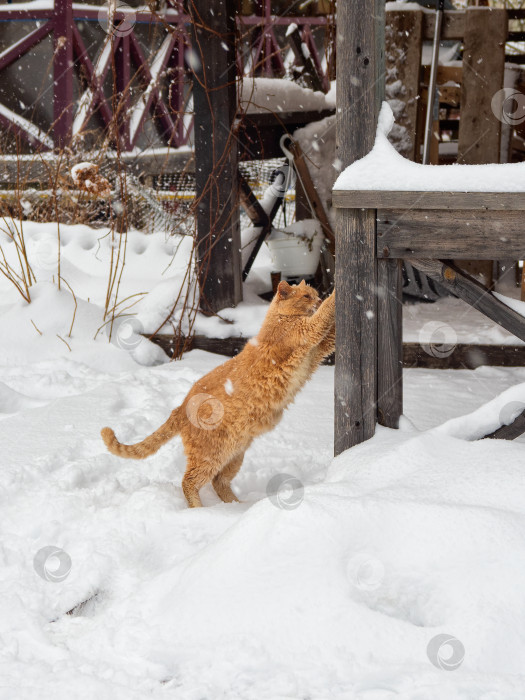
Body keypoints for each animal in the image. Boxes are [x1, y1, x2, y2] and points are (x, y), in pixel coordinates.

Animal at [100, 280, 334, 508]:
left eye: (314, 294)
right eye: (306, 296)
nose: (317, 299)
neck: (280, 318)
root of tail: (181, 407)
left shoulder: (318, 351)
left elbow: (330, 334)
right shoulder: (309, 331)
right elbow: (325, 312)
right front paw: (334, 296)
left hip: (234, 455)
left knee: (218, 481)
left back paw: (237, 507)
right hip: (211, 457)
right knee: (189, 481)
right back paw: (203, 511)